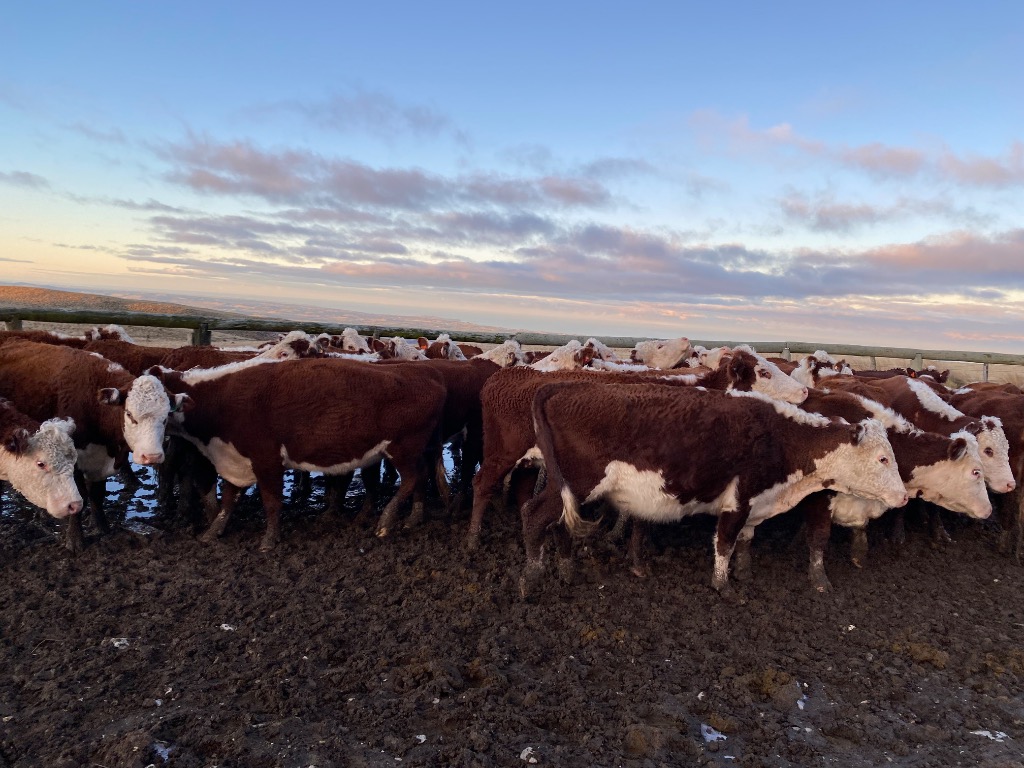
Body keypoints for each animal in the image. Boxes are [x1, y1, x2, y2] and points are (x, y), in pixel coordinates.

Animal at [0, 340, 184, 551]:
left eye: (166, 416)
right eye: (129, 414)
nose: (152, 456)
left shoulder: (100, 461)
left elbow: (97, 495)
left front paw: (101, 527)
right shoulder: (75, 463)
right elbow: (80, 497)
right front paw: (75, 539)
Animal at [149, 357, 448, 549]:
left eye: (162, 408)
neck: (222, 401)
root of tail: (428, 378)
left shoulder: (267, 459)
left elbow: (271, 501)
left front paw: (269, 540)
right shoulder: (236, 461)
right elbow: (229, 500)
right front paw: (212, 533)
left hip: (404, 448)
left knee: (412, 478)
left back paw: (385, 522)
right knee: (417, 478)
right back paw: (411, 517)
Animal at [520, 383, 905, 599]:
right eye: (883, 458)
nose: (903, 497)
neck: (780, 437)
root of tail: (561, 387)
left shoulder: (755, 503)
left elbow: (746, 540)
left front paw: (745, 572)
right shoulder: (738, 500)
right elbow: (725, 543)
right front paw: (724, 586)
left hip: (565, 488)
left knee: (560, 524)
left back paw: (567, 571)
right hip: (577, 483)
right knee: (534, 515)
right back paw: (532, 578)